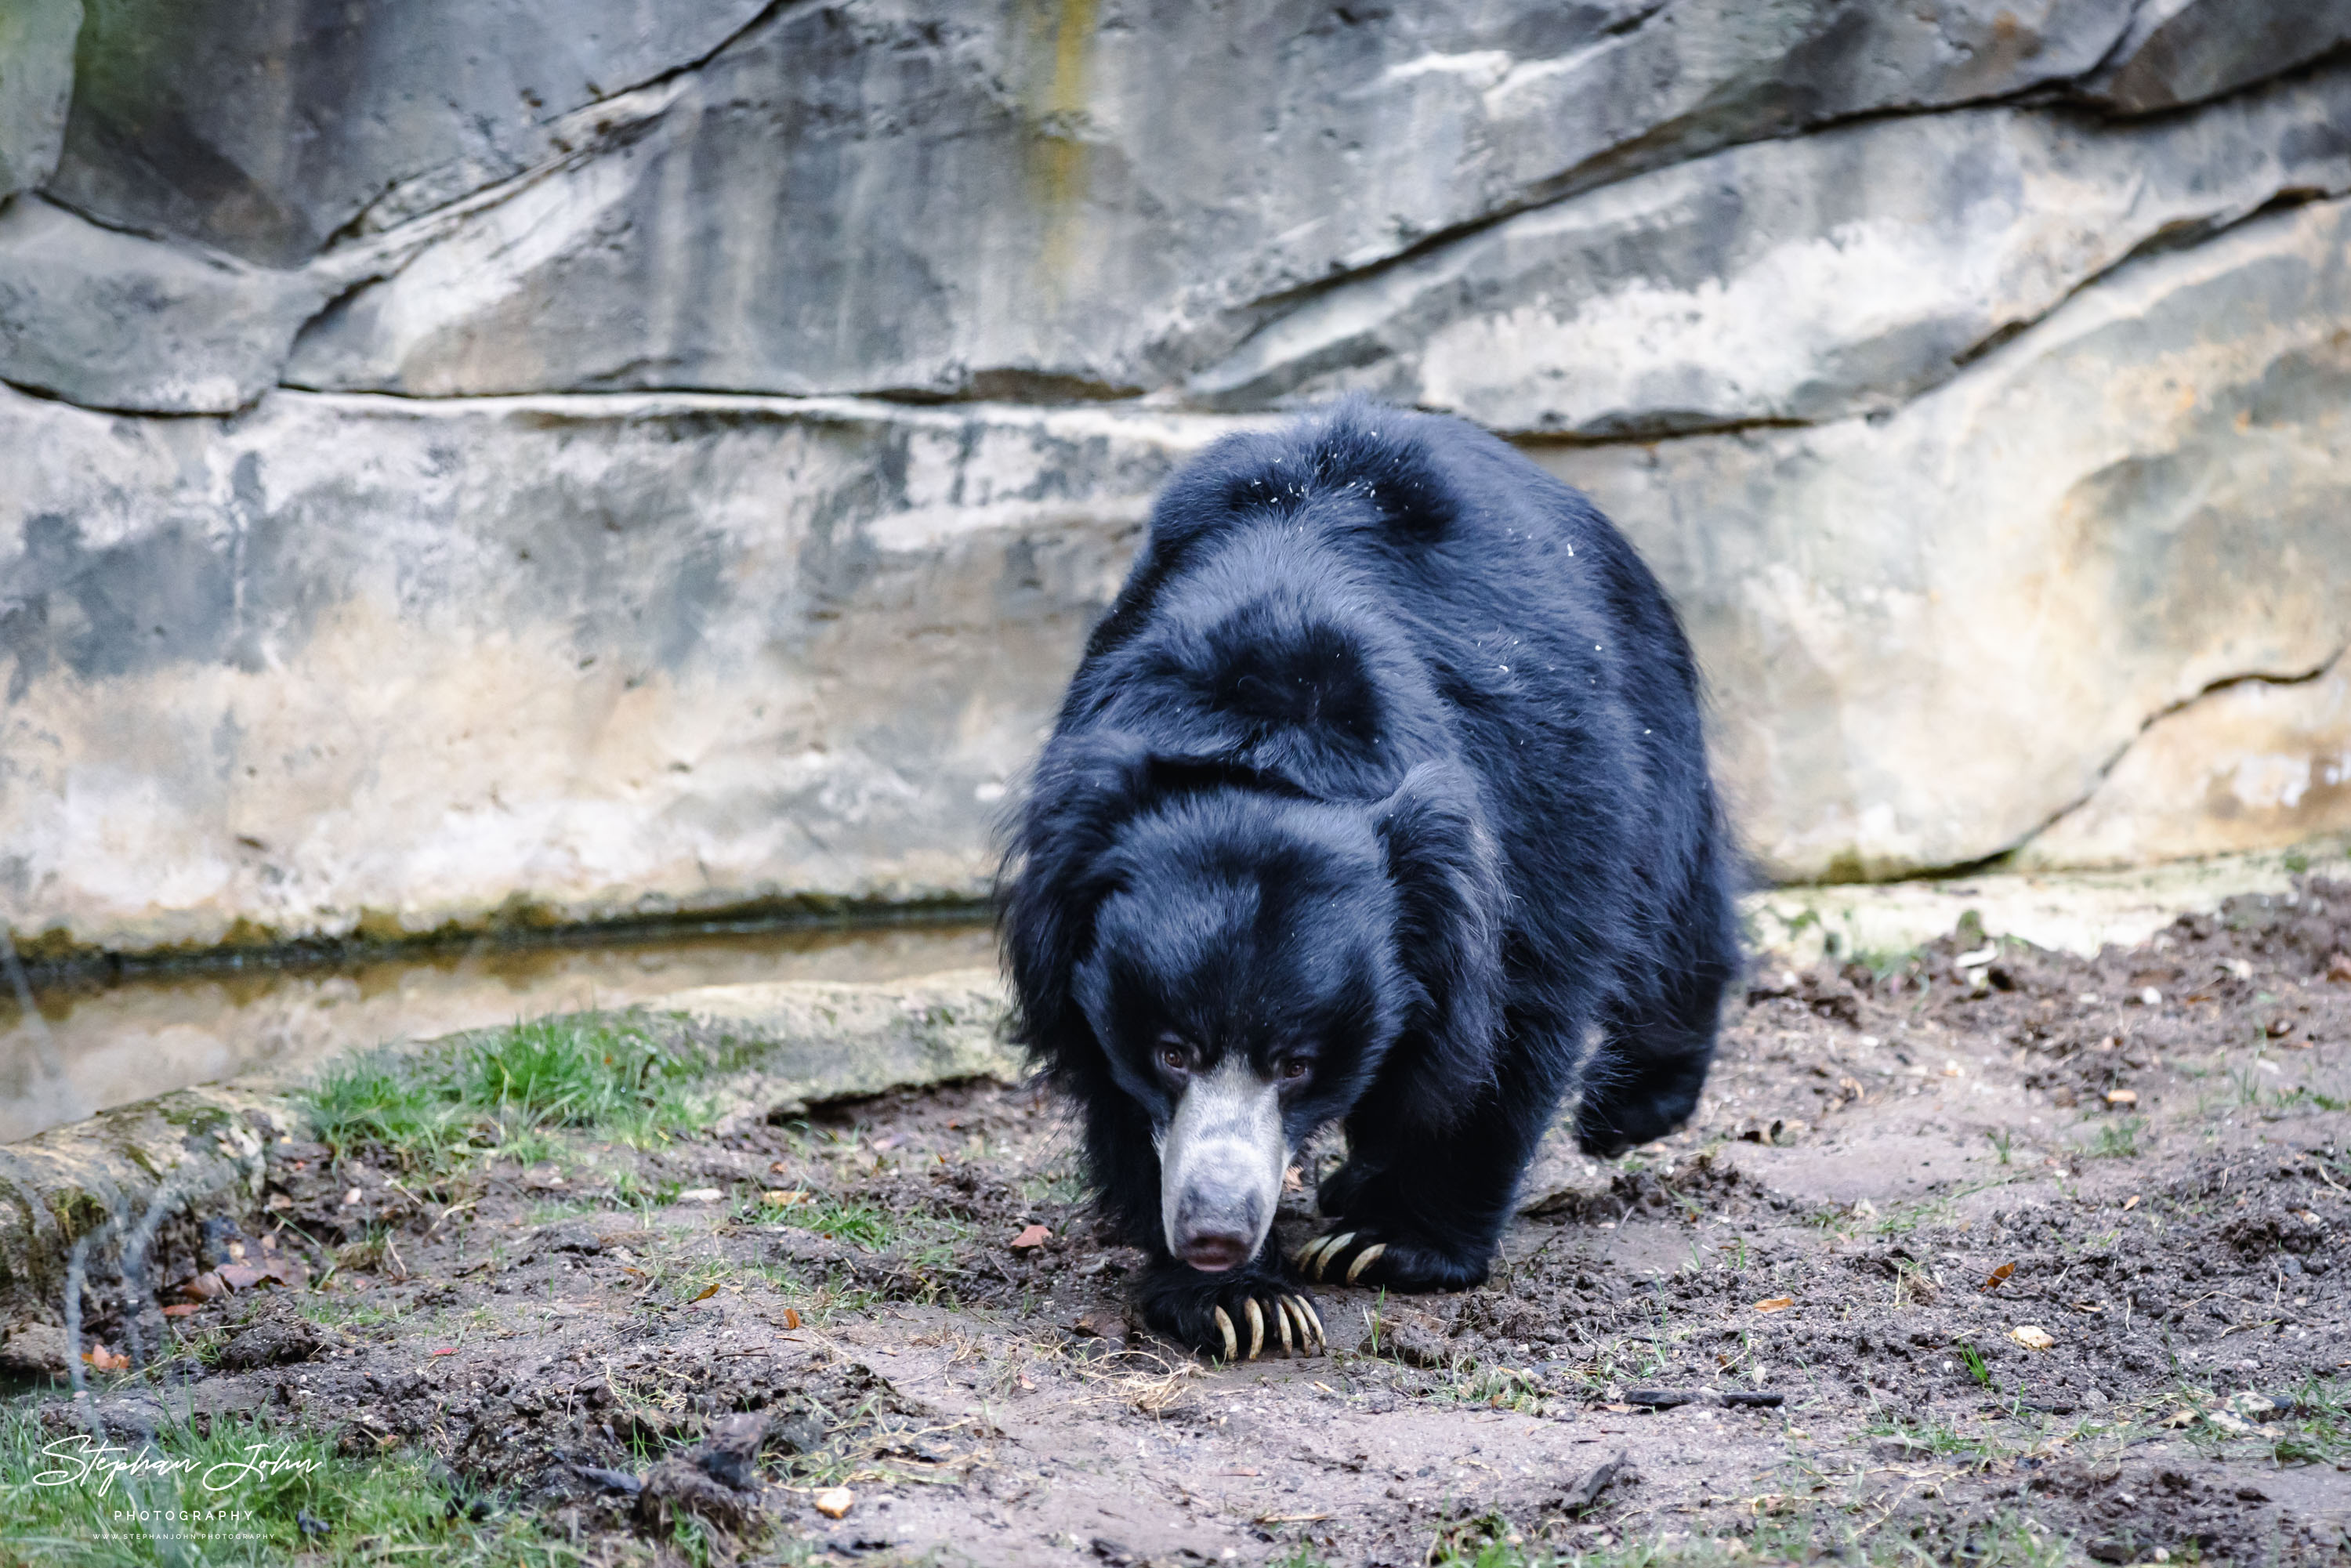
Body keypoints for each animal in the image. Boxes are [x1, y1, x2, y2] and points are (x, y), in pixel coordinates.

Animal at [1002, 400, 1740, 1354]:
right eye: (1171, 1052)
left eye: (1298, 1064)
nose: (1213, 1231)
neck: (1271, 740)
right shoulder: (1074, 895)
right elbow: (1113, 1083)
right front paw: (1238, 1301)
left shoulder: (1527, 810)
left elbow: (1509, 1013)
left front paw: (1389, 1246)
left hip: (1648, 700)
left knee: (1679, 890)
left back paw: (1634, 1111)